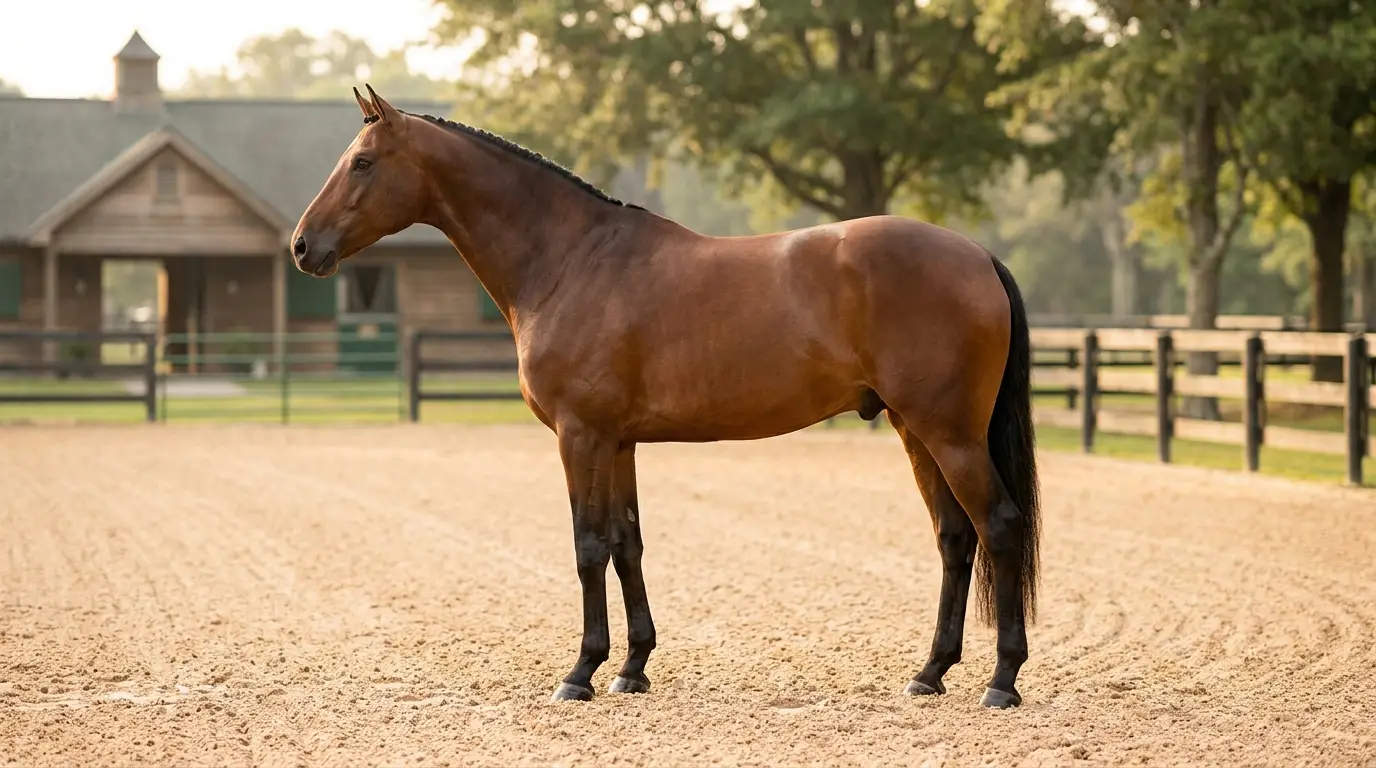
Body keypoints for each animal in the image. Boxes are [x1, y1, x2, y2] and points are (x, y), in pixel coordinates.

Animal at [291, 85, 1042, 709]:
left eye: (362, 162)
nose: (302, 247)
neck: (571, 260)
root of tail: (977, 255)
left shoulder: (581, 436)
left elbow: (588, 545)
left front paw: (581, 673)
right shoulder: (619, 441)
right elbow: (628, 544)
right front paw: (632, 668)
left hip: (949, 434)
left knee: (999, 526)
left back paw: (1002, 681)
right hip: (917, 431)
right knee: (955, 537)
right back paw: (930, 673)